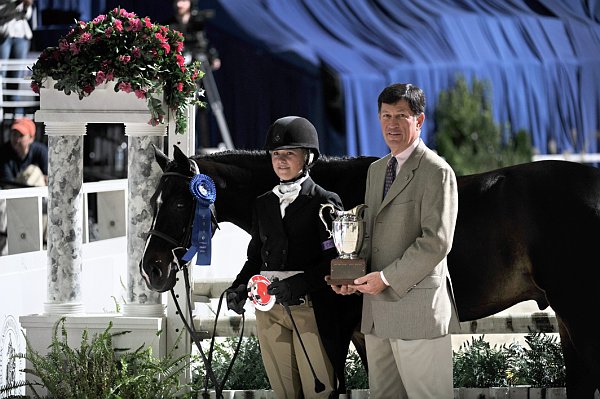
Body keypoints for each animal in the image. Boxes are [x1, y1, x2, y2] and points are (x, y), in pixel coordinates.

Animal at [142, 146, 600, 396]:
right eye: (151, 202)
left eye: (181, 202)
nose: (152, 270)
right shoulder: (365, 331)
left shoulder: (331, 326)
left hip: (579, 313)